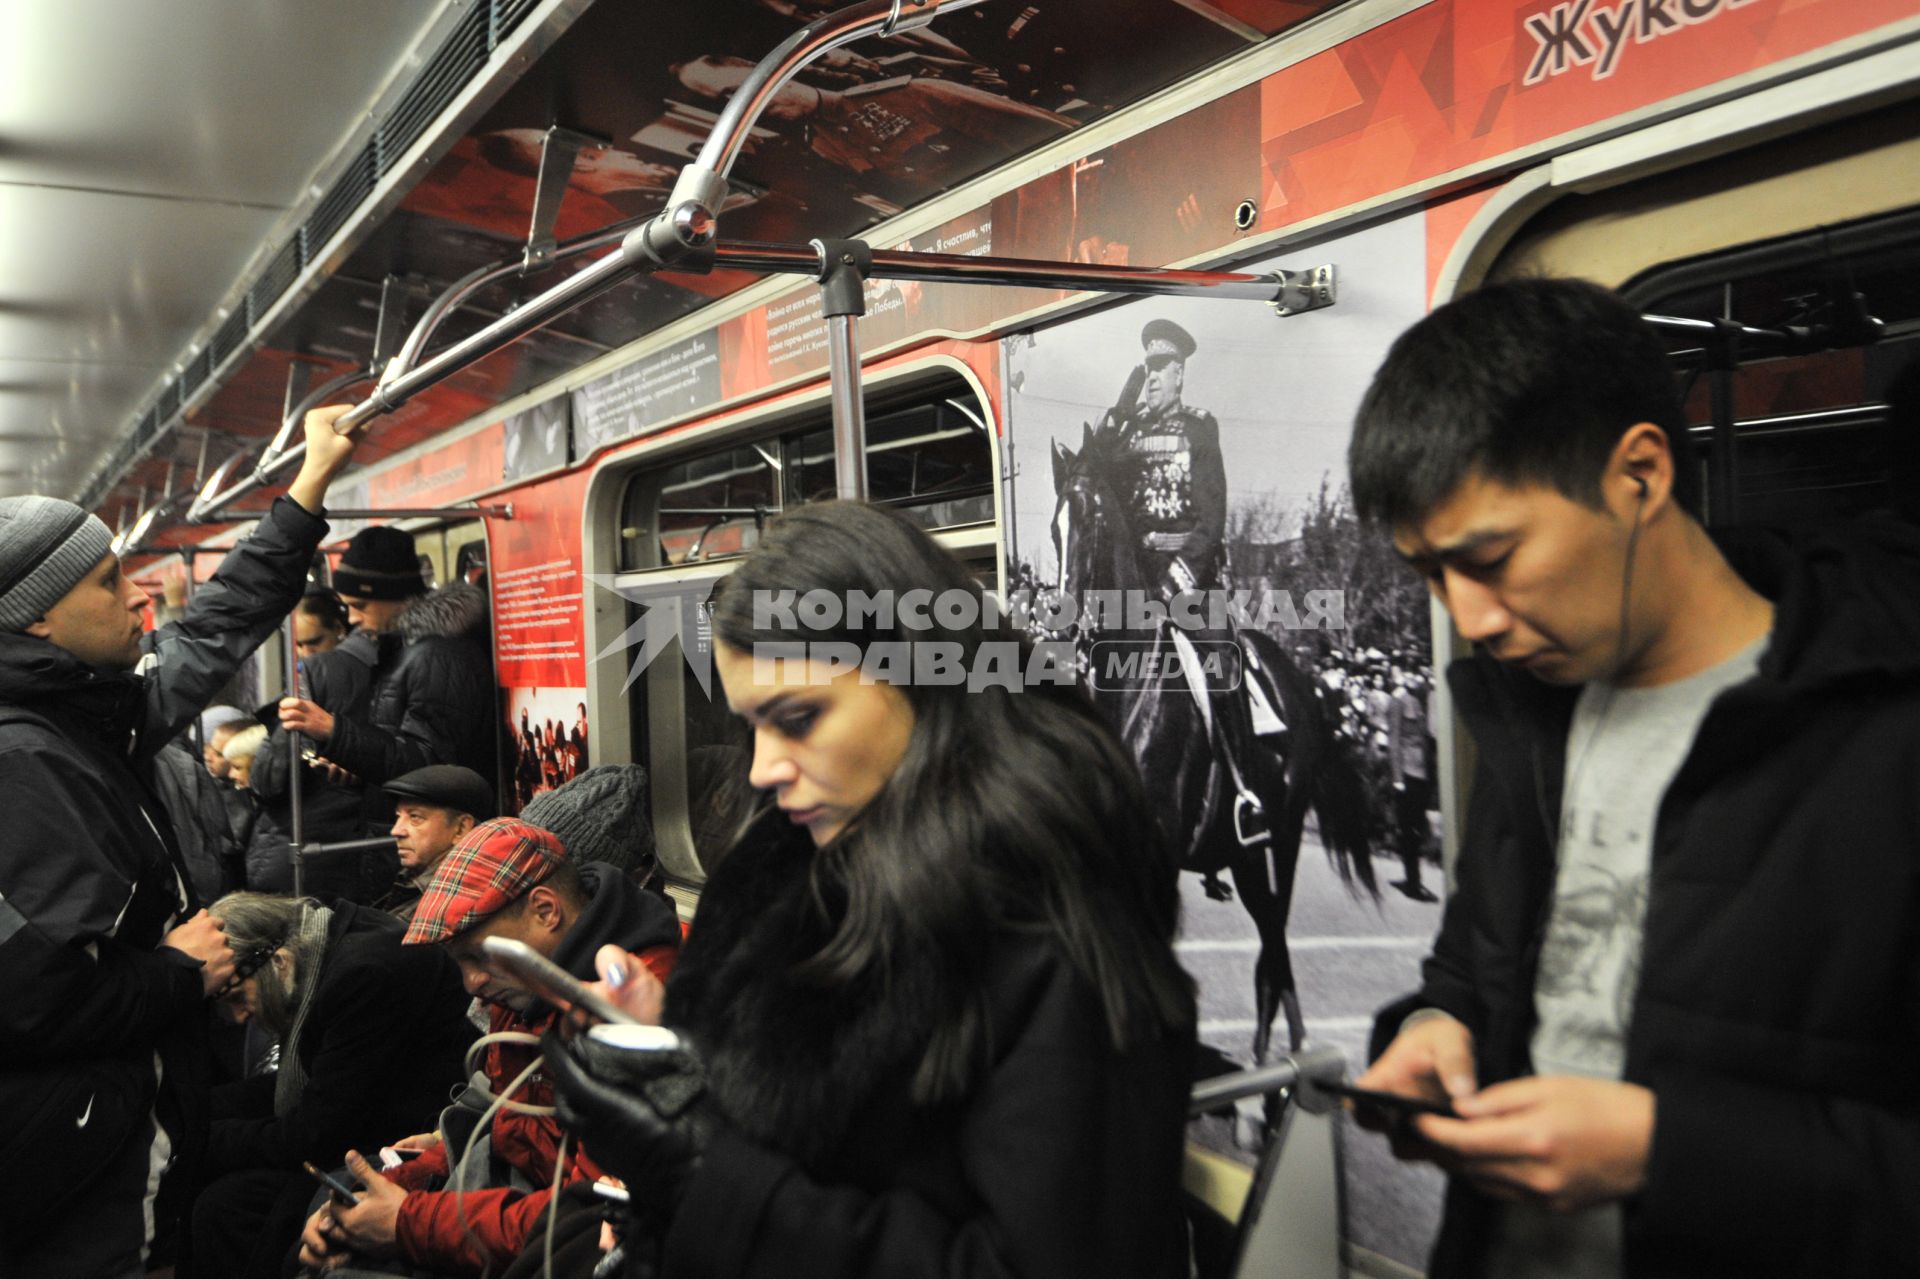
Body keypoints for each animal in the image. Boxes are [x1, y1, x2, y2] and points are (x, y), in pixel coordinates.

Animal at [1044, 422, 1374, 1060]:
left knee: (1274, 932)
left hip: (1282, 840)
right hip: (1243, 857)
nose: (1061, 626)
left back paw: (1286, 1051)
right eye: (1053, 526)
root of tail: (1301, 682)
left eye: (1090, 517)